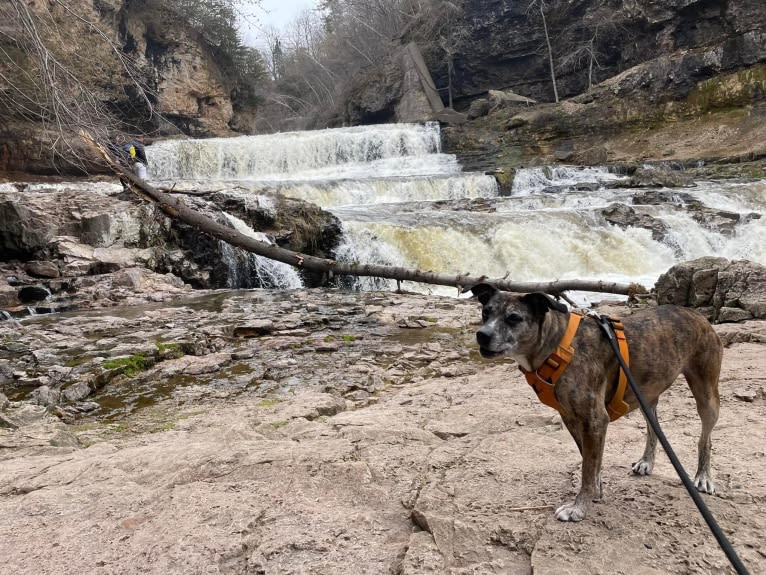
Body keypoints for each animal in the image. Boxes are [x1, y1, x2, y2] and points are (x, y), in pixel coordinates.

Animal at [472, 286, 728, 524]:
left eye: (514, 318)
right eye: (486, 312)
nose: (482, 335)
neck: (557, 346)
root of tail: (697, 314)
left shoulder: (594, 419)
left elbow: (587, 466)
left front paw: (578, 507)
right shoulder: (572, 419)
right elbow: (590, 460)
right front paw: (596, 490)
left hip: (706, 394)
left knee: (706, 438)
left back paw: (704, 476)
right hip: (645, 395)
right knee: (653, 429)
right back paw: (647, 461)